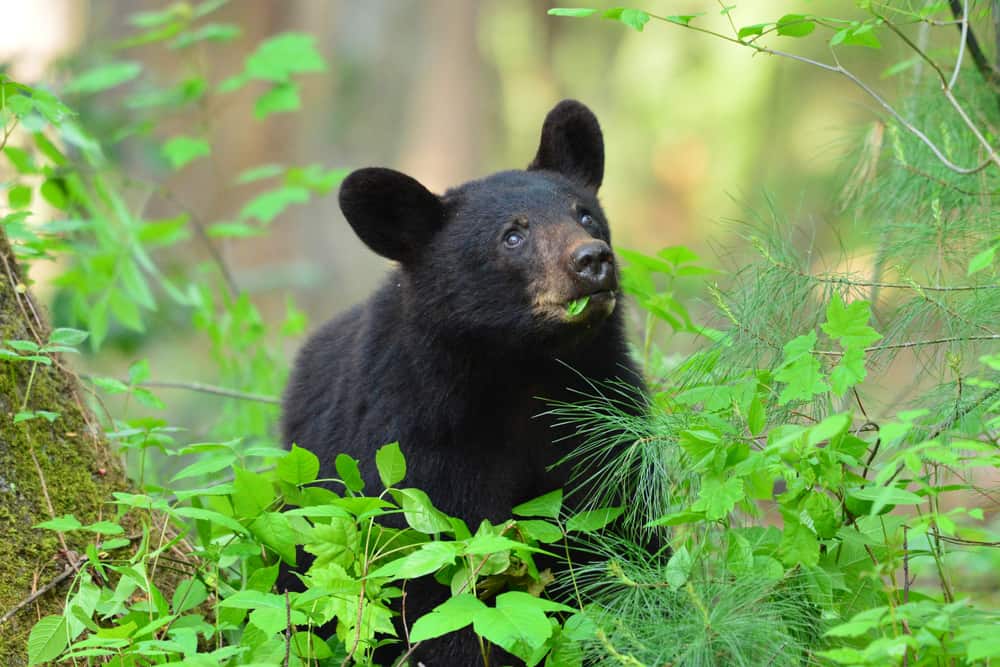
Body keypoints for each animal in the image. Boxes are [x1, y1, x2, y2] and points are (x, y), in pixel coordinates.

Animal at [284, 100, 640, 667]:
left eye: (584, 214)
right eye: (512, 236)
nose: (592, 259)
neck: (523, 372)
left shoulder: (603, 413)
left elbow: (615, 528)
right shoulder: (418, 439)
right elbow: (432, 576)